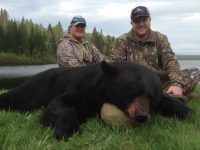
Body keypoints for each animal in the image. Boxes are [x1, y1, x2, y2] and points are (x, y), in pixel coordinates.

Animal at [0, 61, 194, 141]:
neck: (103, 92)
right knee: (15, 97)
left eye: (152, 97)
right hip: (33, 90)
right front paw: (68, 131)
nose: (141, 116)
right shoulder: (84, 90)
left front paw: (186, 111)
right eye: (132, 92)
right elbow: (59, 106)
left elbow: (168, 100)